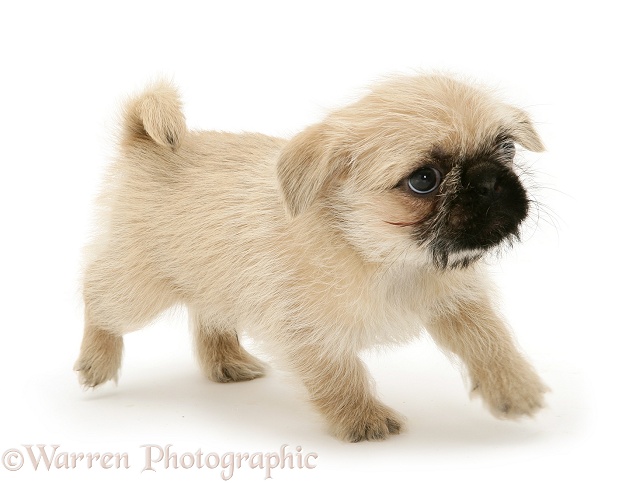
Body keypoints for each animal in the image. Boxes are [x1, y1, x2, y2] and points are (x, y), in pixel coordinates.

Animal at [77, 74, 548, 442]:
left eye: (507, 150)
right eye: (423, 180)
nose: (489, 181)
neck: (385, 258)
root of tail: (144, 143)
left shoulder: (458, 303)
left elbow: (490, 341)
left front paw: (515, 389)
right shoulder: (309, 331)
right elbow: (338, 374)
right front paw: (362, 419)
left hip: (211, 283)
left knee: (207, 314)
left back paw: (227, 362)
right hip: (137, 290)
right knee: (96, 295)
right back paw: (96, 360)